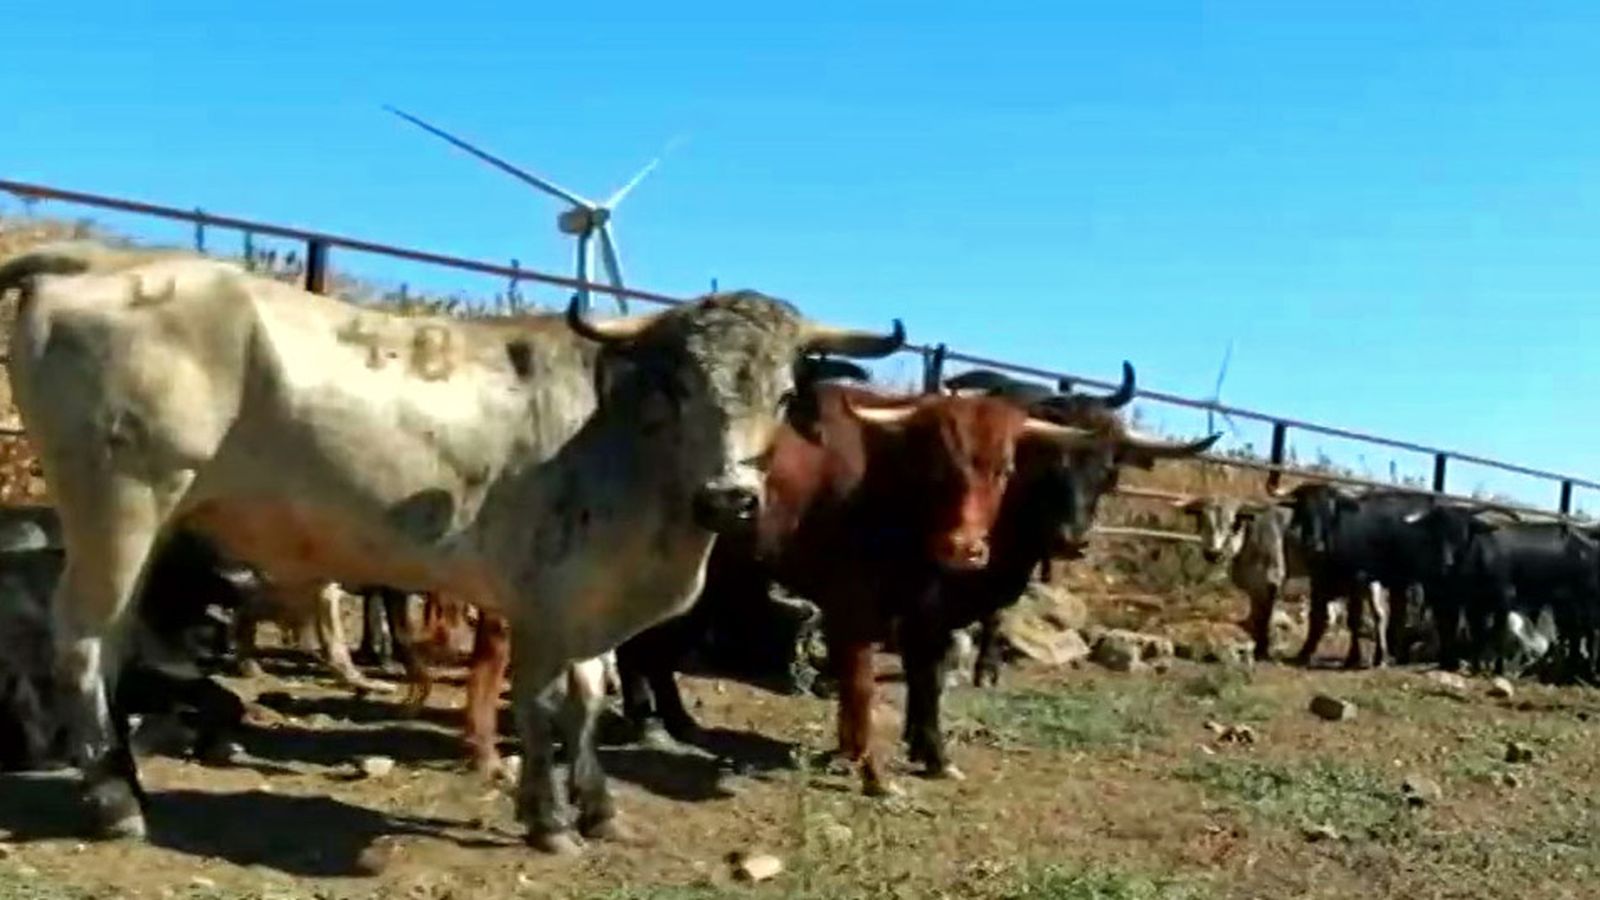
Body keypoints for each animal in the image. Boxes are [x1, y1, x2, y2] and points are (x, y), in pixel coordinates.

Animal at [2, 239, 903, 852]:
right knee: (83, 643)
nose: (729, 497)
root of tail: (99, 259)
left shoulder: (591, 605)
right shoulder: (542, 601)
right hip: (120, 510)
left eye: (783, 394)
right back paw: (115, 799)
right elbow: (543, 705)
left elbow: (591, 697)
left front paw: (599, 809)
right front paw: (549, 819)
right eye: (681, 384)